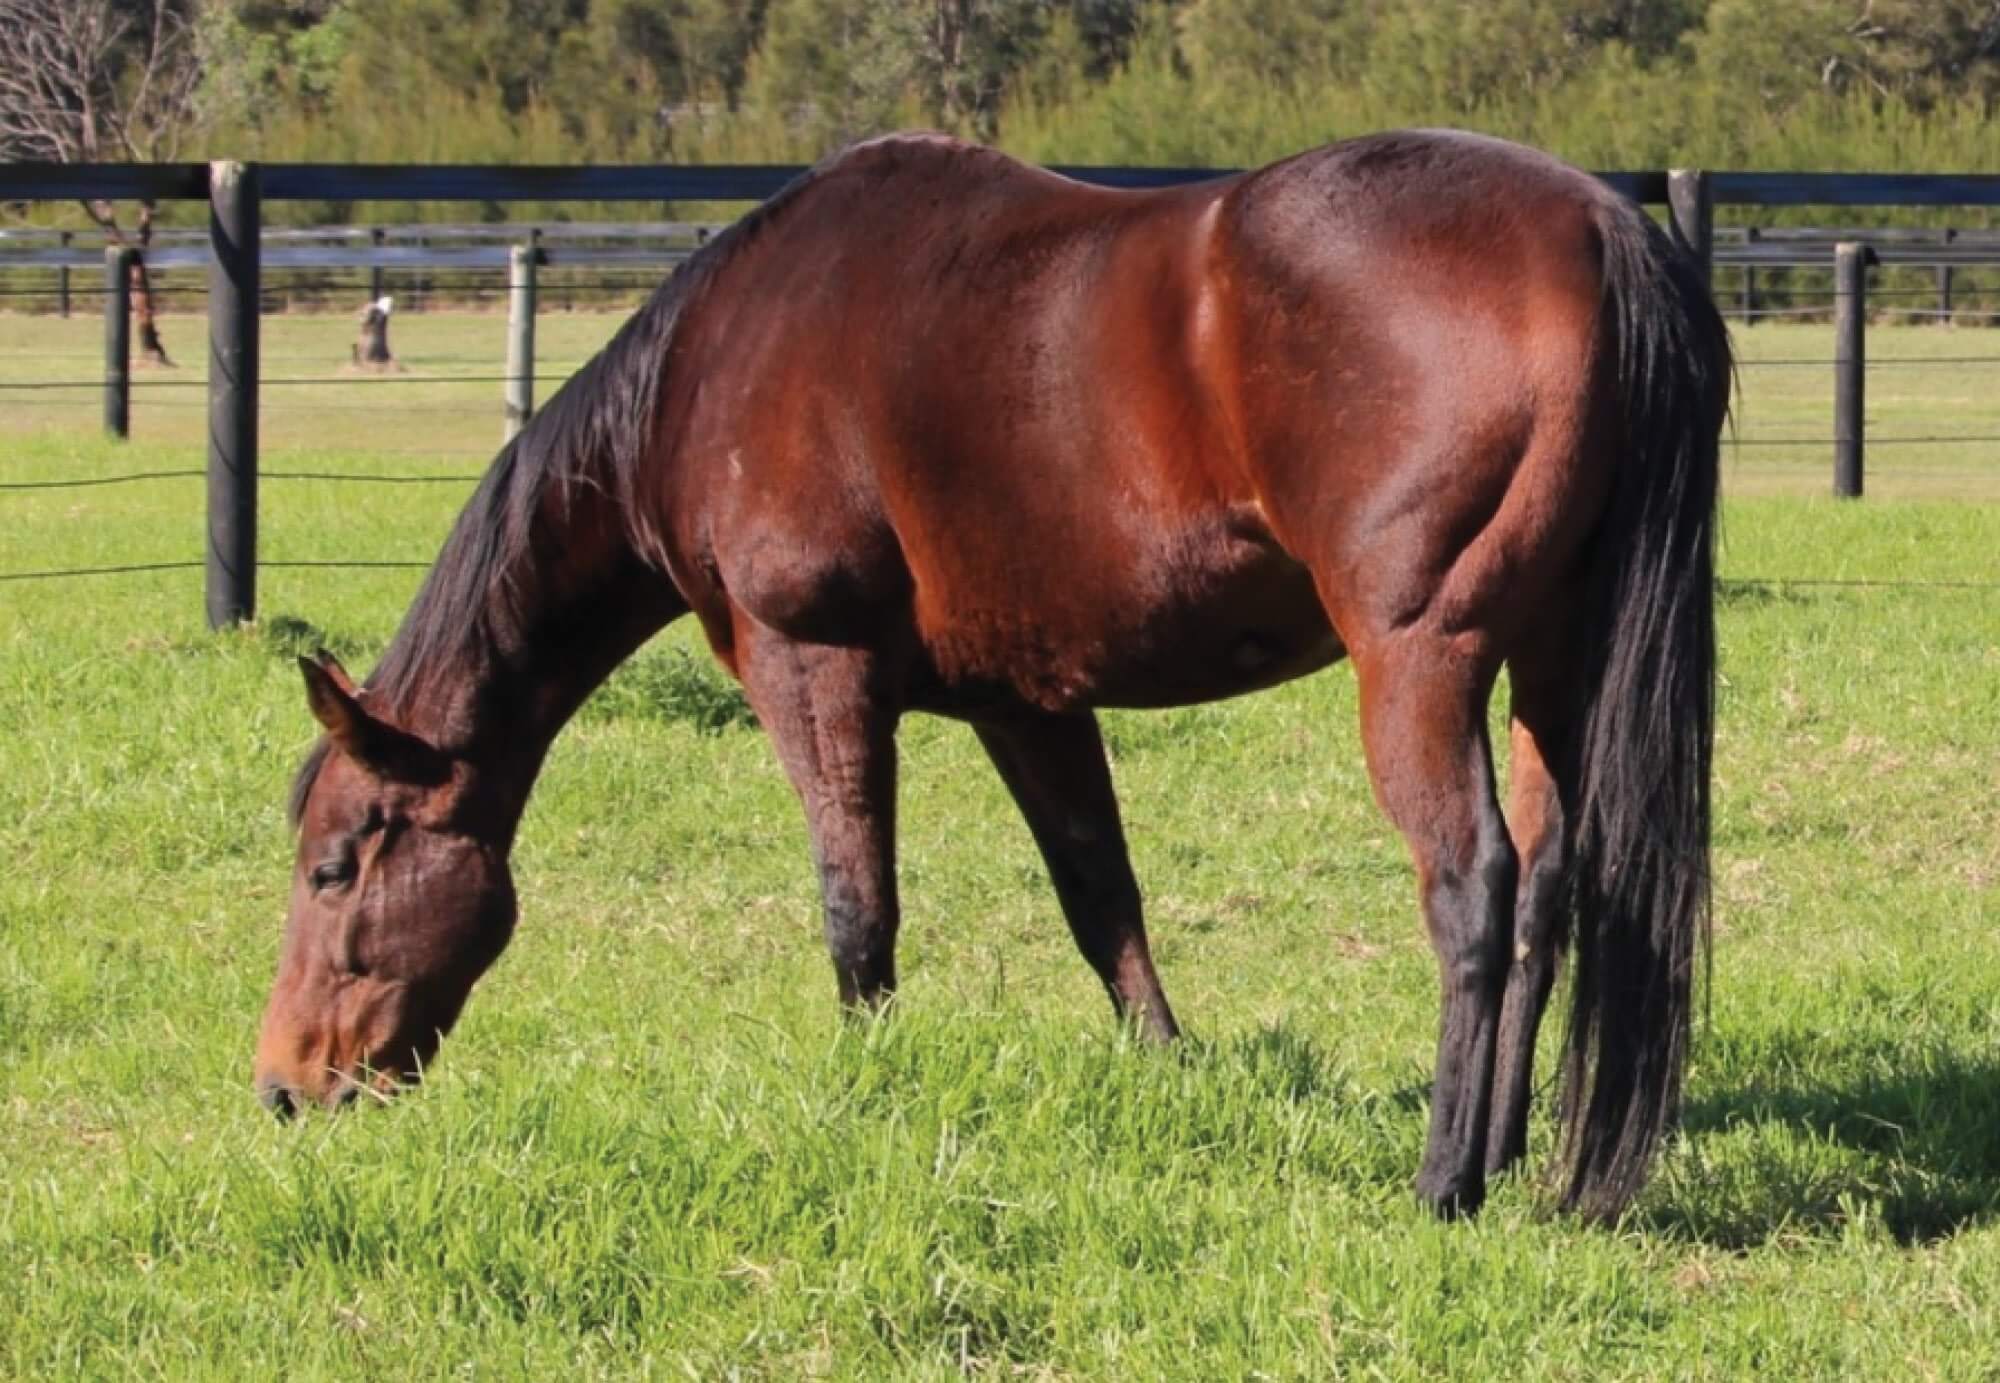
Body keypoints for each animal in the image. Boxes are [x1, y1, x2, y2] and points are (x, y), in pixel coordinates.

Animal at [256, 129, 1728, 1222]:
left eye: (334, 867)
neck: (718, 359)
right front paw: (1166, 1072)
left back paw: (1441, 1182)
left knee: (1473, 886)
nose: (282, 1087)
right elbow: (1100, 896)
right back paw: (1518, 1158)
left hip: (1423, 661)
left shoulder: (813, 668)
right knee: (1549, 889)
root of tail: (1595, 227)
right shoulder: (1030, 701)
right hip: (1549, 659)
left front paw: (865, 1089)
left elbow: (856, 905)